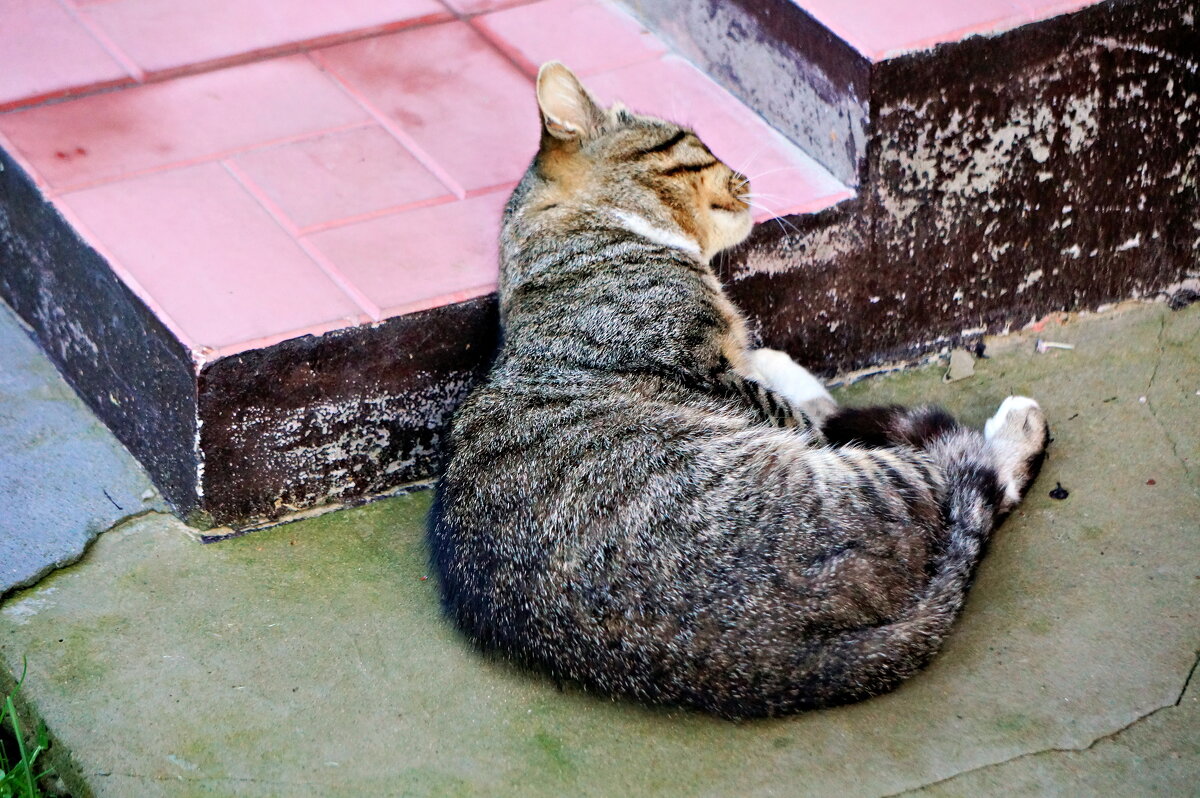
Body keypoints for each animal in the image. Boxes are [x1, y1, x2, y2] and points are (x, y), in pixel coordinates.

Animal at [427, 65, 1046, 720]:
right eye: (695, 143)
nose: (745, 174)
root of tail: (769, 664)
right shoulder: (710, 373)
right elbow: (797, 401)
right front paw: (801, 385)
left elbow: (772, 365)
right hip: (882, 480)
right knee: (971, 487)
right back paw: (1016, 428)